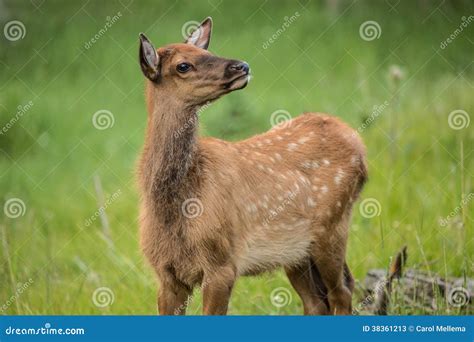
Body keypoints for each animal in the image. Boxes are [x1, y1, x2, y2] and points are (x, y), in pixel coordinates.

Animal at [137, 17, 366, 314]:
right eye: (183, 65)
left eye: (207, 52)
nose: (242, 66)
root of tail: (356, 141)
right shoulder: (167, 274)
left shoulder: (222, 263)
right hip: (297, 252)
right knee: (318, 301)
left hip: (333, 225)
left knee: (343, 292)